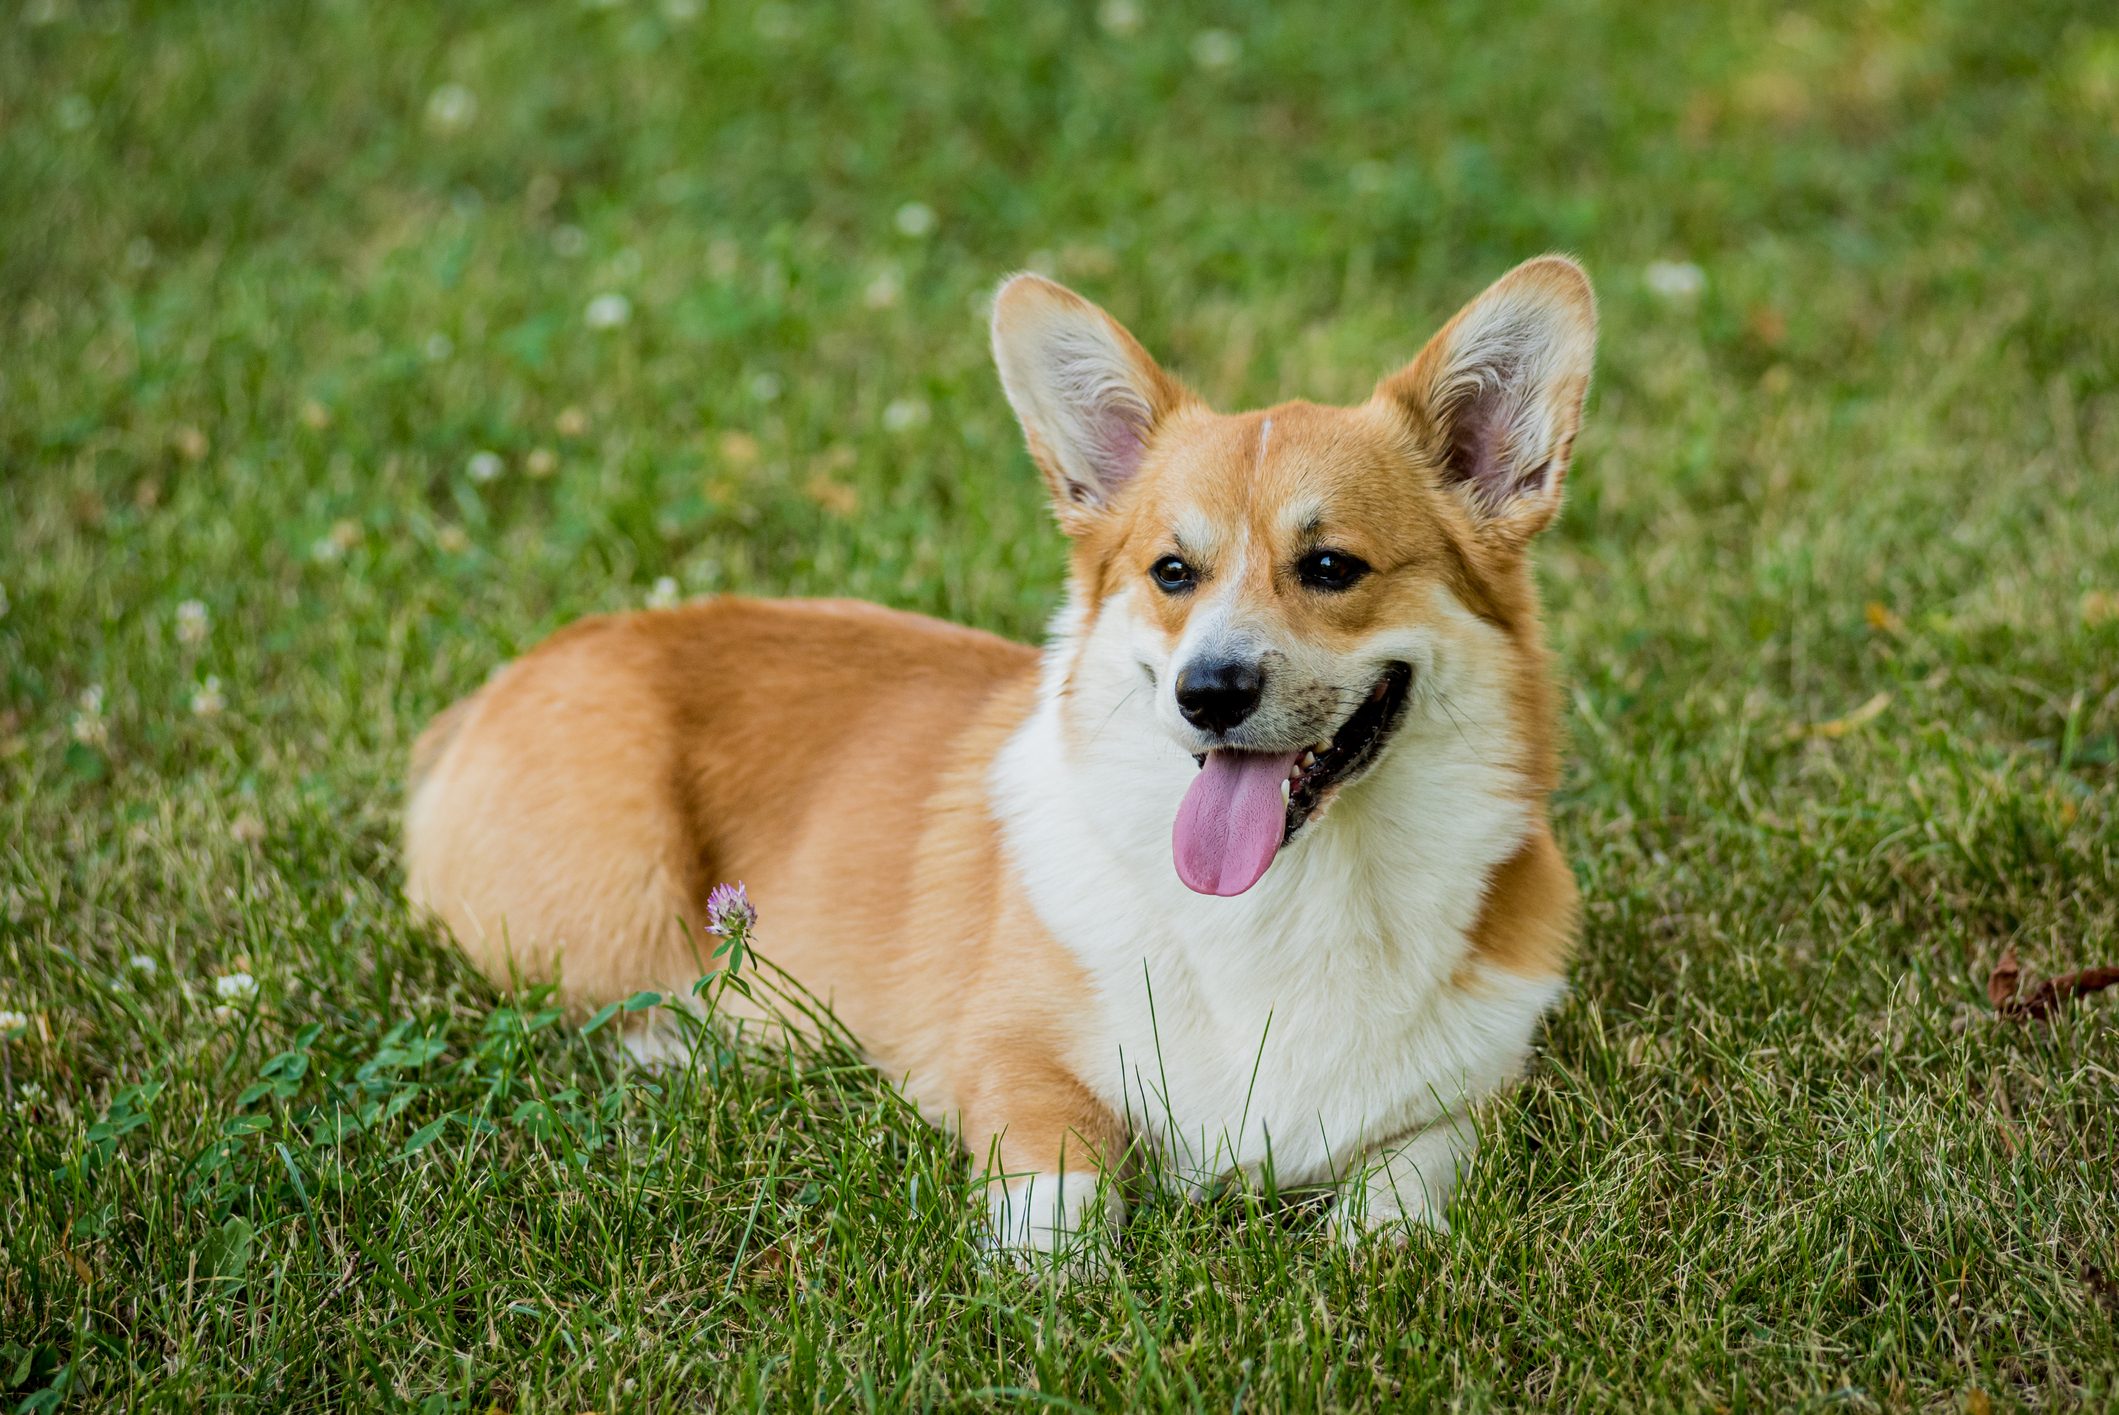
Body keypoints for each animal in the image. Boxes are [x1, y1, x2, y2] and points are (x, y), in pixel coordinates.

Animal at [400, 259, 1593, 1254]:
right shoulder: (1011, 1056)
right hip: (615, 894)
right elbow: (1059, 1176)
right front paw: (1050, 1281)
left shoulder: (1469, 1096)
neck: (1291, 900)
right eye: (1172, 571)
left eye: (1333, 566)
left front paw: (1366, 1246)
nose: (1207, 693)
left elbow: (1405, 1188)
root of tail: (515, 672)